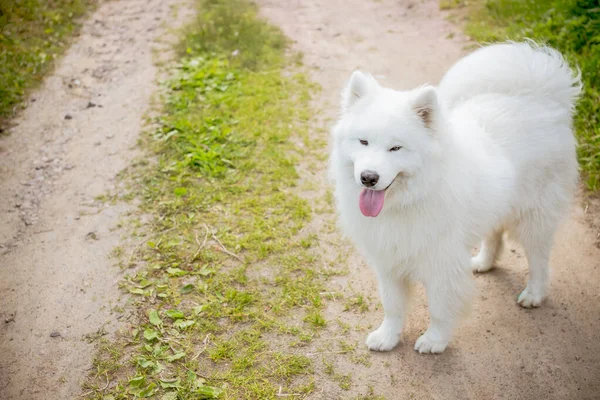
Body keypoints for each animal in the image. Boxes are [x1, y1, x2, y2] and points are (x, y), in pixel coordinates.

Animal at [328, 40, 580, 354]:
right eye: (363, 141)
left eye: (396, 148)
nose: (368, 177)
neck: (410, 200)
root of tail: (543, 98)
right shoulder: (389, 261)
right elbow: (392, 306)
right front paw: (387, 337)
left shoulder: (442, 263)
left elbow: (439, 307)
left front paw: (434, 341)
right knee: (494, 235)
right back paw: (483, 262)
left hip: (534, 217)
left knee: (539, 259)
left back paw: (534, 294)